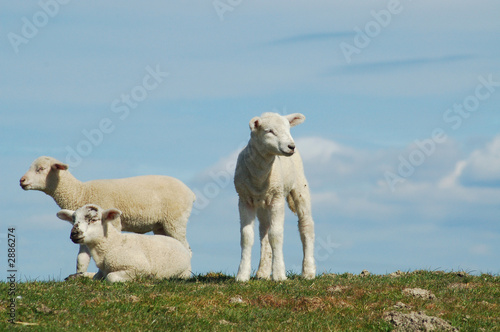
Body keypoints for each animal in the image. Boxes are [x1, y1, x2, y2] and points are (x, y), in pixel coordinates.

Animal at [56, 205, 191, 282]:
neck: (112, 244)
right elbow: (96, 277)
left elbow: (111, 277)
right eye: (73, 220)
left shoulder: (138, 266)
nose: (74, 233)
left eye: (93, 219)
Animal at [234, 113, 316, 282]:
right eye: (269, 131)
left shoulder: (277, 199)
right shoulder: (244, 199)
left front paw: (279, 274)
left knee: (306, 225)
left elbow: (276, 235)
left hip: (300, 186)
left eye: (288, 128)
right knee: (264, 231)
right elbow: (247, 236)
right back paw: (263, 272)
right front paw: (242, 275)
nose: (291, 146)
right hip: (262, 204)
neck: (259, 177)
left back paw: (308, 271)